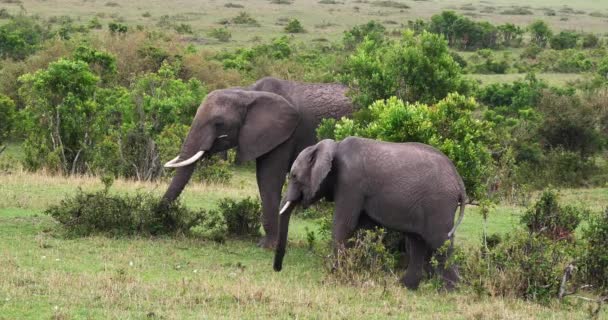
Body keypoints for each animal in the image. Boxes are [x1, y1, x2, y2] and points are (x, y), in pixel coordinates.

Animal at [162, 77, 352, 248]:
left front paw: (266, 246)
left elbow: (268, 178)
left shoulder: (284, 135)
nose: (159, 213)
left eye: (219, 123)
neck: (247, 92)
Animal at [274, 136, 468, 288]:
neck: (333, 146)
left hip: (439, 203)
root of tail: (459, 181)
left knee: (439, 242)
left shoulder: (350, 182)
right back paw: (405, 286)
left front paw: (333, 275)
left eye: (294, 176)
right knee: (416, 242)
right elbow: (365, 228)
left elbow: (344, 225)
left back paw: (449, 290)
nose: (278, 269)